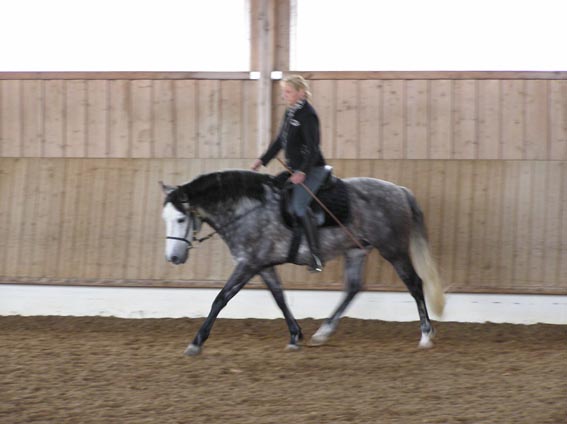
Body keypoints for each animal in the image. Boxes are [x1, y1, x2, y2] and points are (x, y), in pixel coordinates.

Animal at [159, 168, 444, 354]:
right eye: (166, 219)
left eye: (181, 219)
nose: (173, 258)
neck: (246, 210)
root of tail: (399, 191)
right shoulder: (262, 265)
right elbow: (279, 297)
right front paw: (295, 336)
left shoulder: (248, 264)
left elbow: (221, 299)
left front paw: (196, 342)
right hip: (356, 250)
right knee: (353, 287)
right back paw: (323, 333)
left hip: (393, 250)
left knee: (415, 284)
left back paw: (426, 335)